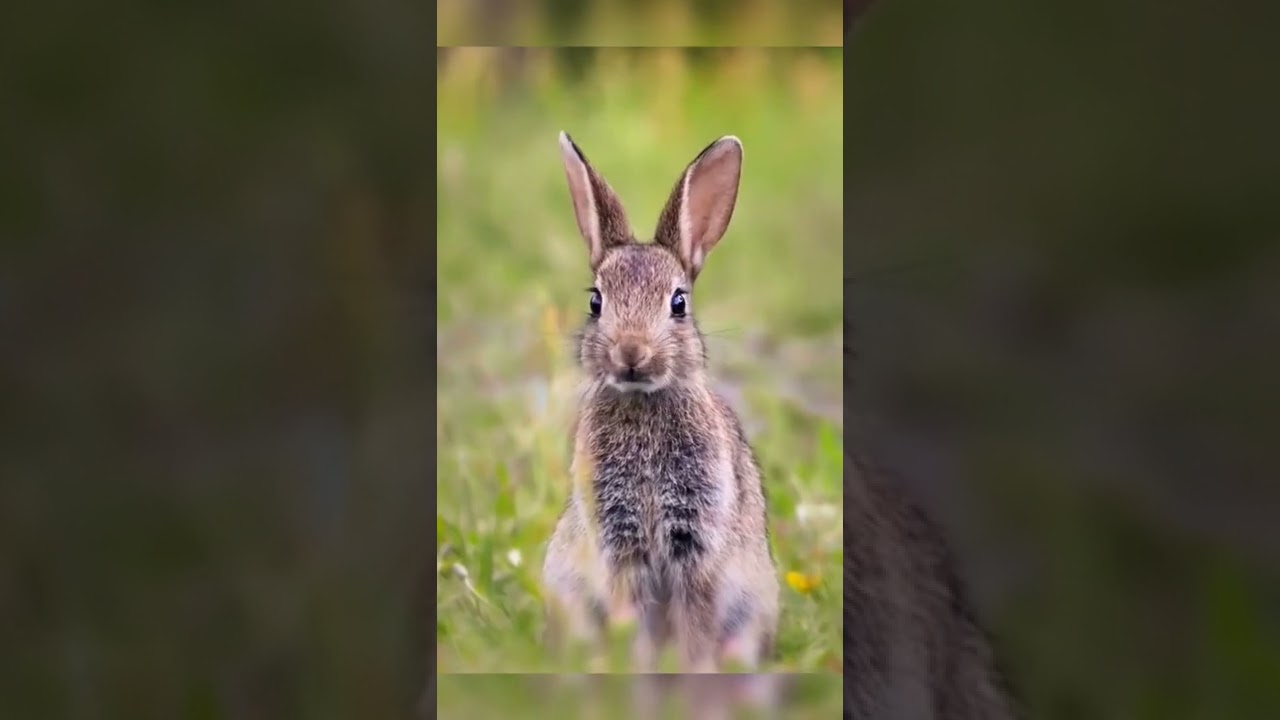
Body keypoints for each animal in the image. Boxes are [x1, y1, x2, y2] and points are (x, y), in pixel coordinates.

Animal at [541, 132, 780, 679]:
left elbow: (695, 619)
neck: (643, 405)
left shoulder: (698, 540)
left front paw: (690, 671)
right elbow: (631, 618)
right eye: (595, 302)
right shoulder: (618, 542)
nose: (631, 352)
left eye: (678, 303)